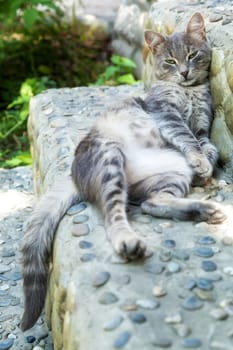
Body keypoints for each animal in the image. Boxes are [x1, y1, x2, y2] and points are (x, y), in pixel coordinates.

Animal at [21, 12, 226, 330]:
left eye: (192, 55)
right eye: (170, 61)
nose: (183, 73)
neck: (188, 92)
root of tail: (73, 176)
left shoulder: (203, 125)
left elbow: (207, 145)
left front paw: (207, 166)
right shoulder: (166, 114)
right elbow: (187, 138)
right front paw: (202, 163)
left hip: (171, 172)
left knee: (153, 202)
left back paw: (204, 210)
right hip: (109, 161)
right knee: (113, 214)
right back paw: (129, 242)